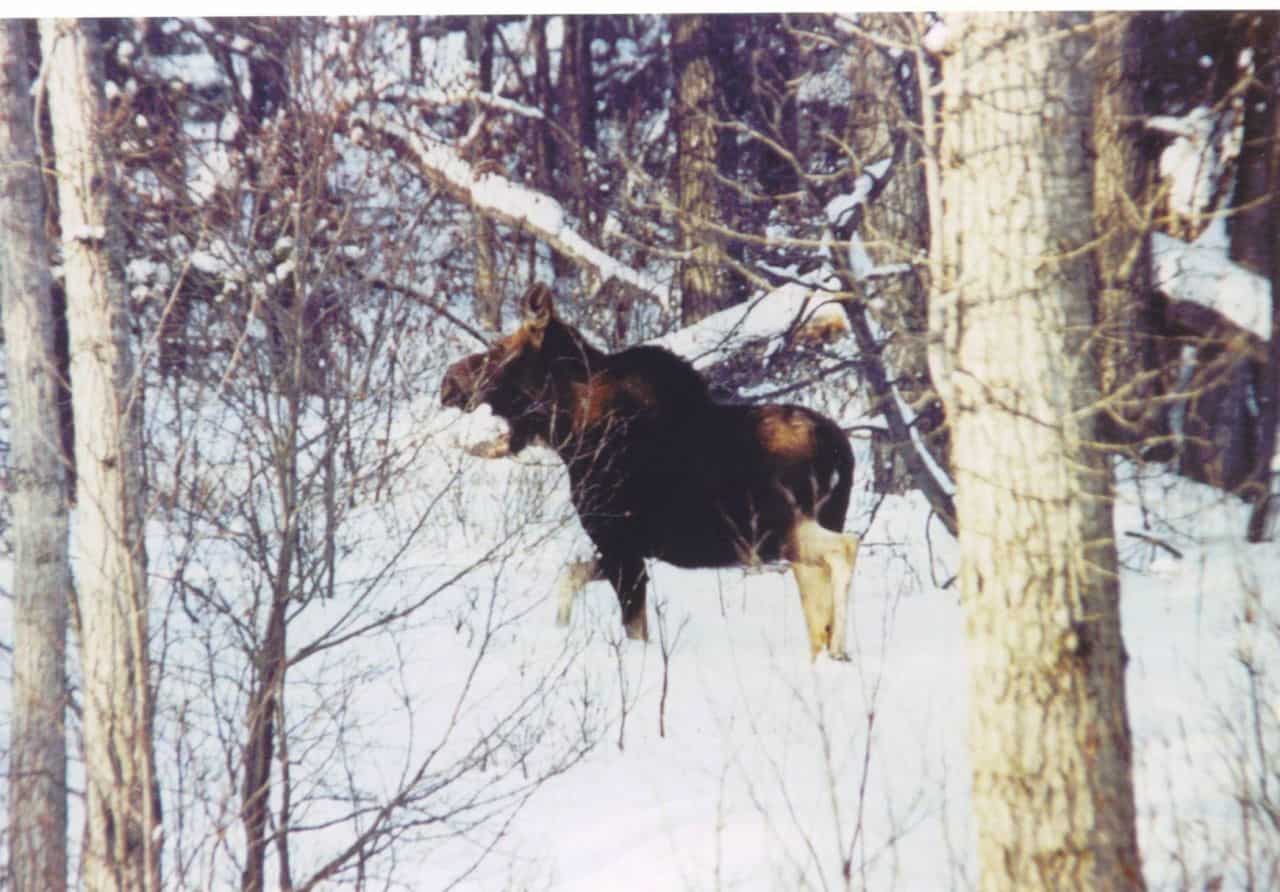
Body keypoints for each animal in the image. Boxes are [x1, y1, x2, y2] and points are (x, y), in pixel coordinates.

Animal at [440, 281, 860, 655]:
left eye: (499, 349)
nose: (447, 381)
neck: (568, 434)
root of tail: (840, 450)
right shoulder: (624, 546)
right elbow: (571, 576)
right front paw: (560, 630)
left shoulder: (617, 540)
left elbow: (633, 629)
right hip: (805, 533)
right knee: (818, 603)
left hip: (780, 529)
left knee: (845, 548)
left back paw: (840, 648)